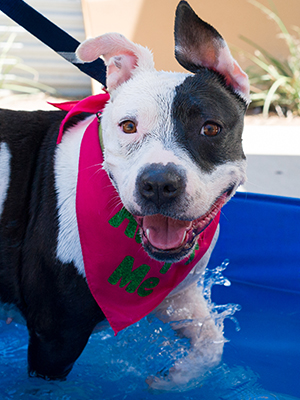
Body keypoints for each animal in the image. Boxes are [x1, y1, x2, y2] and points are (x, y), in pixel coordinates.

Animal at [0, 0, 248, 390]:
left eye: (211, 128)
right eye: (128, 126)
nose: (159, 183)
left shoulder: (177, 295)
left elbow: (212, 345)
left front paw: (172, 379)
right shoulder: (55, 337)